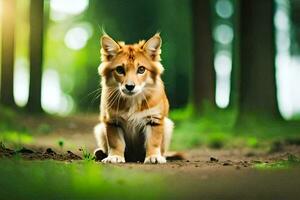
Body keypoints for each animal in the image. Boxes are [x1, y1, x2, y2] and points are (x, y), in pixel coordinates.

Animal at [94, 33, 173, 164]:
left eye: (141, 69)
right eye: (119, 69)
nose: (130, 86)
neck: (132, 101)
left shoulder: (154, 119)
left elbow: (153, 141)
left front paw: (153, 157)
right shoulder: (112, 120)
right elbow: (116, 142)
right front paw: (115, 156)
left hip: (168, 125)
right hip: (100, 129)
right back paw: (100, 153)